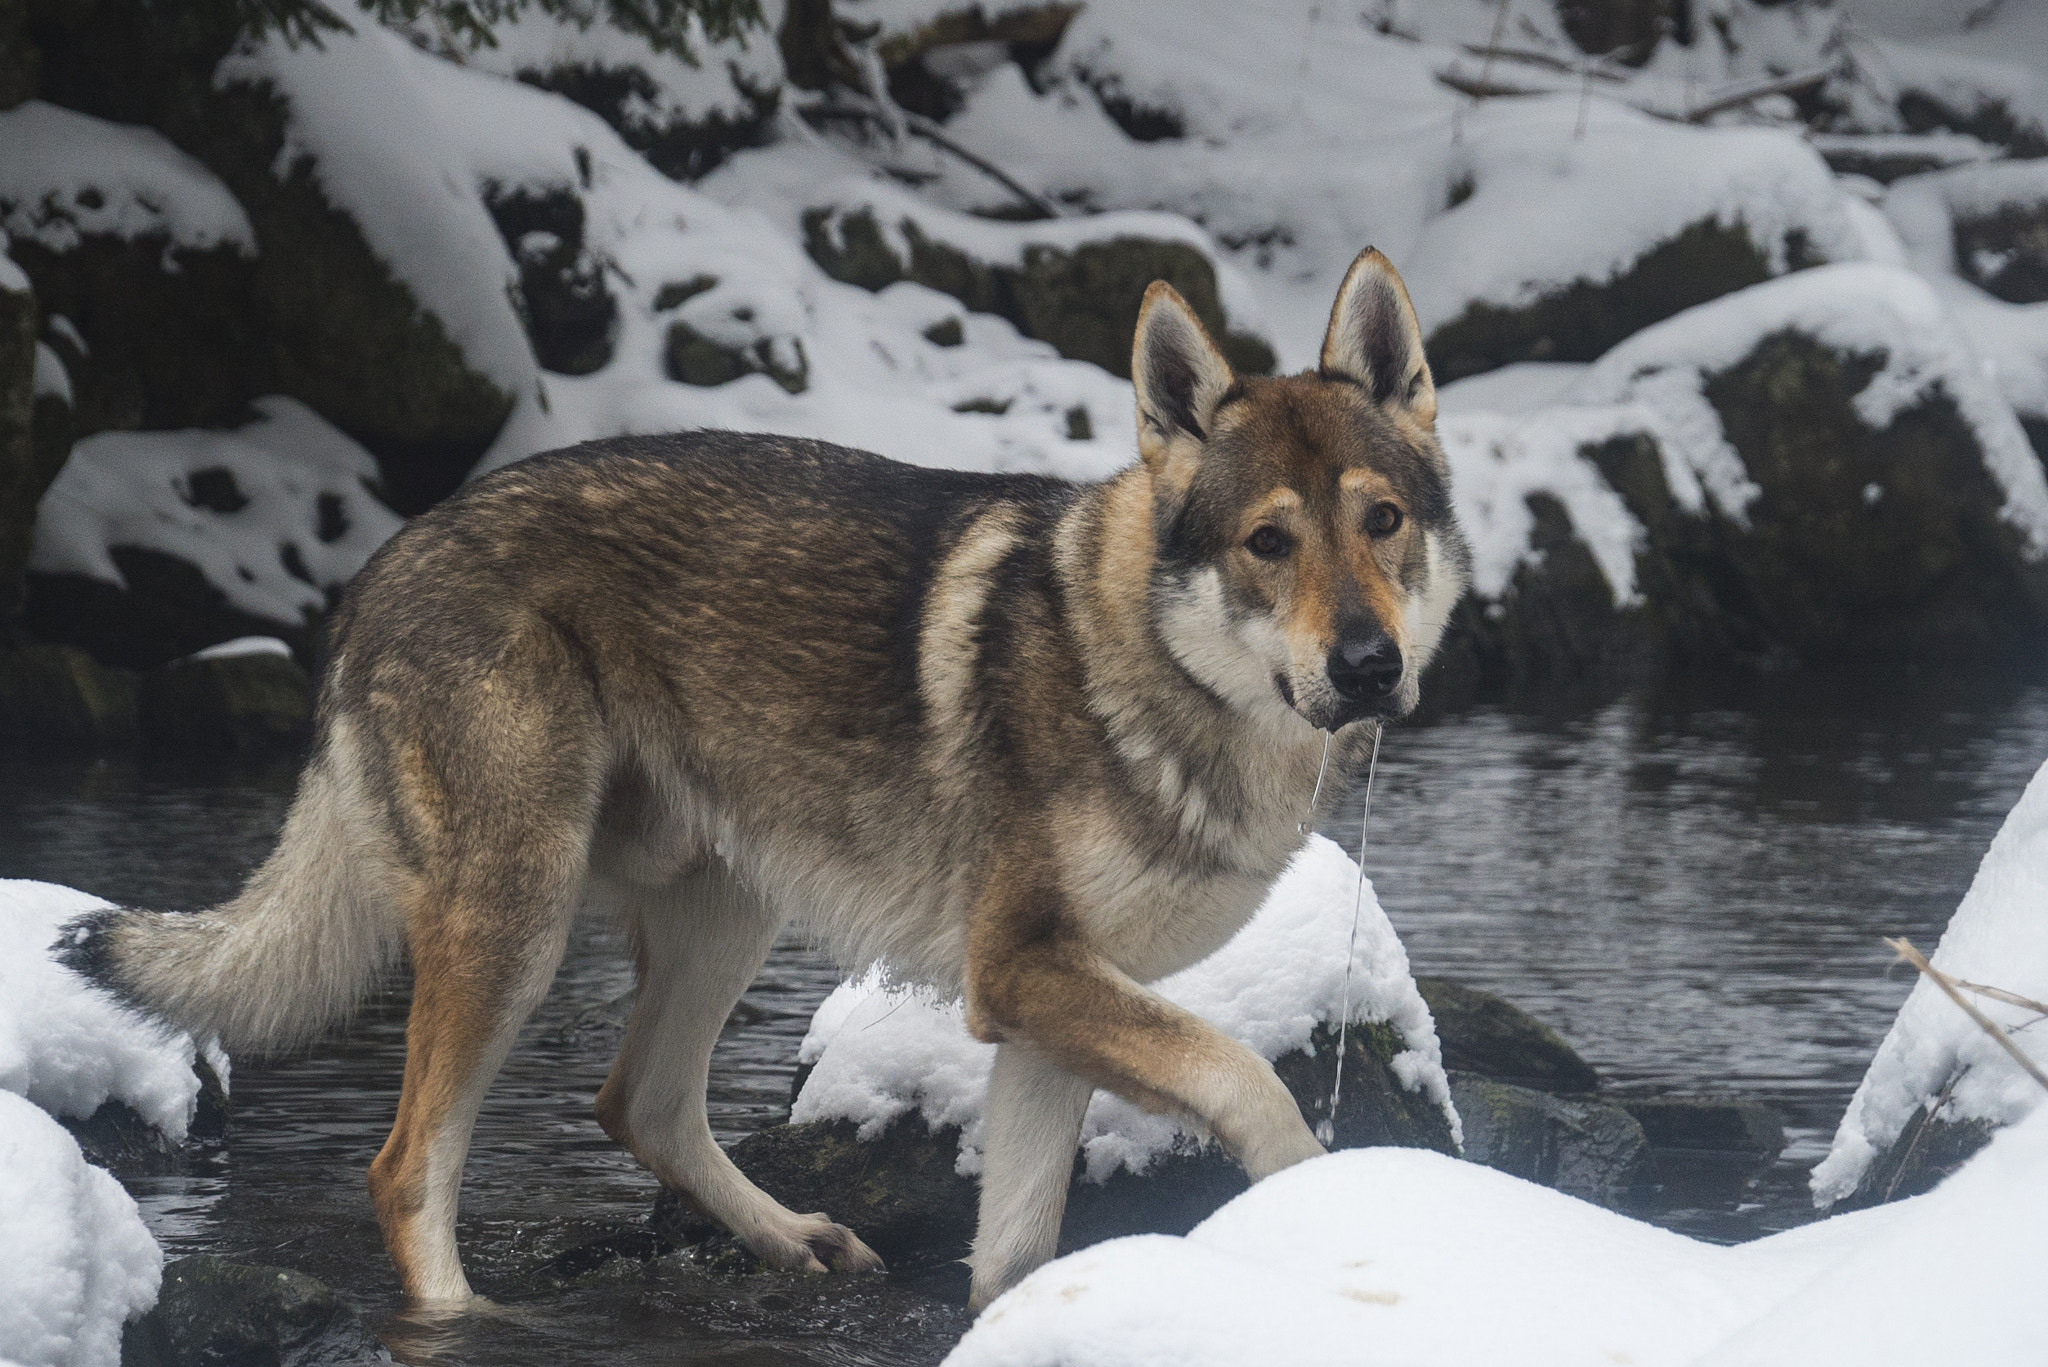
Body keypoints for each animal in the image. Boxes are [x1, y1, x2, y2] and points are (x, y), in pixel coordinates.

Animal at [59, 248, 1469, 1313]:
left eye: (1380, 522)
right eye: (1268, 542)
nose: (1367, 665)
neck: (1156, 683)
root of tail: (376, 571)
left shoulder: (1036, 1007)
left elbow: (1014, 1252)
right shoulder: (1021, 972)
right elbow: (1250, 1080)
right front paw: (1324, 1210)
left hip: (729, 906)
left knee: (637, 1101)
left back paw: (796, 1239)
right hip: (516, 924)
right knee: (407, 1166)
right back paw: (472, 1314)